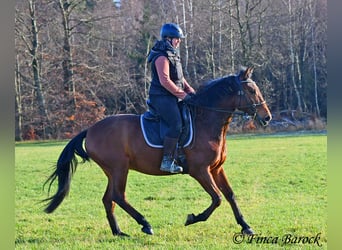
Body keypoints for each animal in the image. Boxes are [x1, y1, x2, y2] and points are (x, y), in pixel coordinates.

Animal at [43, 66, 272, 236]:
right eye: (251, 91)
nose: (267, 117)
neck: (205, 121)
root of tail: (90, 129)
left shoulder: (216, 169)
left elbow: (230, 195)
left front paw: (246, 226)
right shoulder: (200, 171)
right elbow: (217, 198)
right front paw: (192, 218)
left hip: (113, 171)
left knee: (109, 199)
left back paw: (119, 232)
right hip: (119, 169)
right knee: (118, 196)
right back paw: (145, 224)